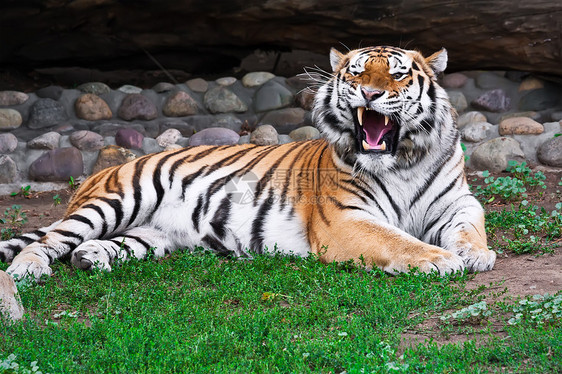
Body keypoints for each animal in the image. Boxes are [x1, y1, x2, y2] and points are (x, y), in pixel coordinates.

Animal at [0, 46, 494, 280]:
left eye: (397, 74)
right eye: (355, 73)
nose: (369, 93)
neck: (403, 159)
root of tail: (99, 171)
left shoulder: (458, 203)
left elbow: (470, 228)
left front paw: (477, 254)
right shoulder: (347, 219)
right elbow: (398, 241)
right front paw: (441, 259)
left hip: (150, 235)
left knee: (89, 247)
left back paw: (89, 260)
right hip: (116, 201)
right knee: (49, 240)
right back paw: (27, 271)